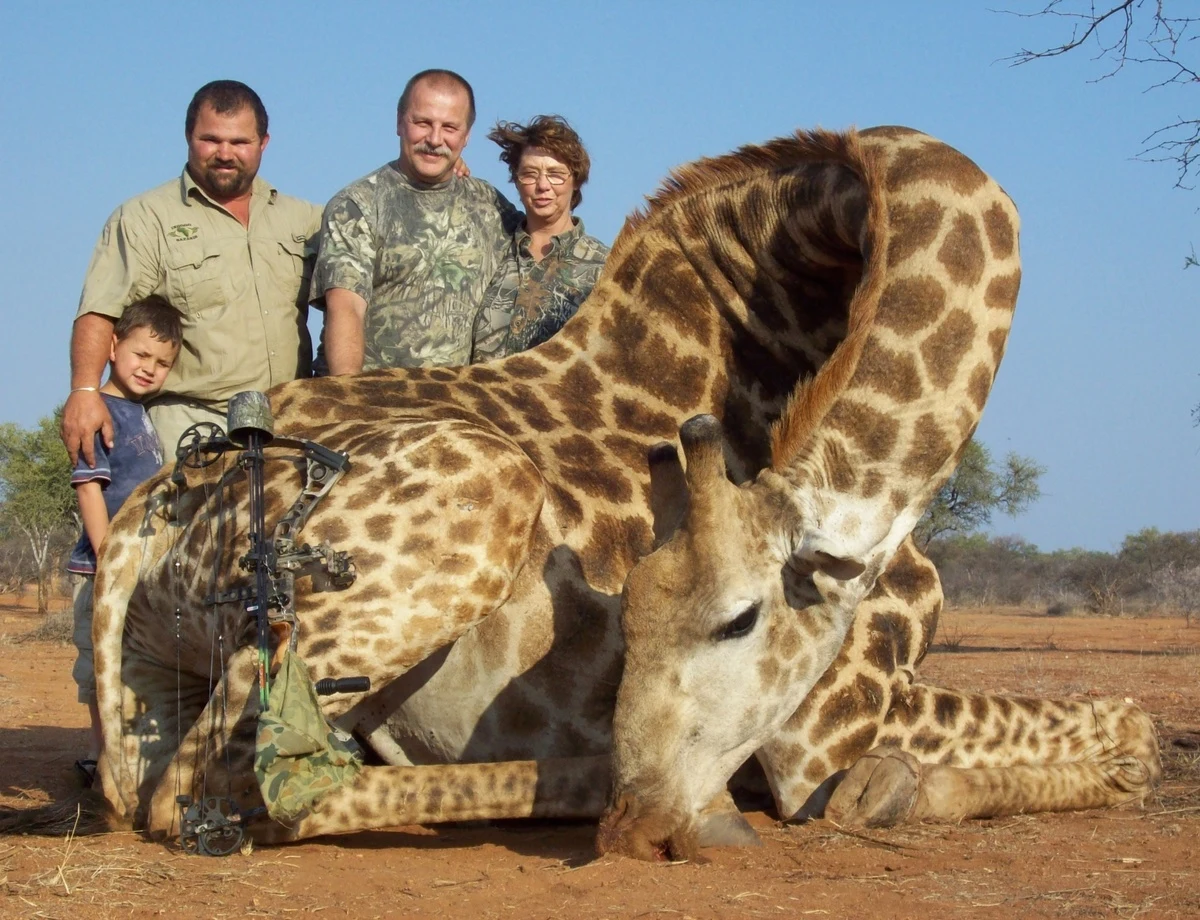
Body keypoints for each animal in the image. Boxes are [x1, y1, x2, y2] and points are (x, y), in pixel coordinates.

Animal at [1, 127, 1158, 857]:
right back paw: (598, 788)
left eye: (738, 618)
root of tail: (152, 515)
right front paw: (914, 788)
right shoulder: (823, 729)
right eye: (632, 614)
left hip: (154, 677)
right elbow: (1083, 725)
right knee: (225, 790)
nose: (641, 827)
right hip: (450, 524)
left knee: (174, 779)